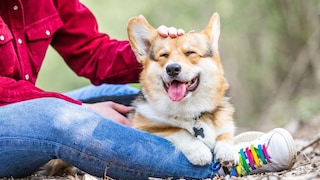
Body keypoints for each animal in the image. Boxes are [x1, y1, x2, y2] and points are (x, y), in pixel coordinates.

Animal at [127, 12, 238, 167]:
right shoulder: (145, 128)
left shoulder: (225, 123)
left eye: (190, 53)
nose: (172, 68)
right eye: (164, 55)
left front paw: (227, 151)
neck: (190, 111)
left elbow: (225, 133)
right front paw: (200, 151)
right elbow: (178, 130)